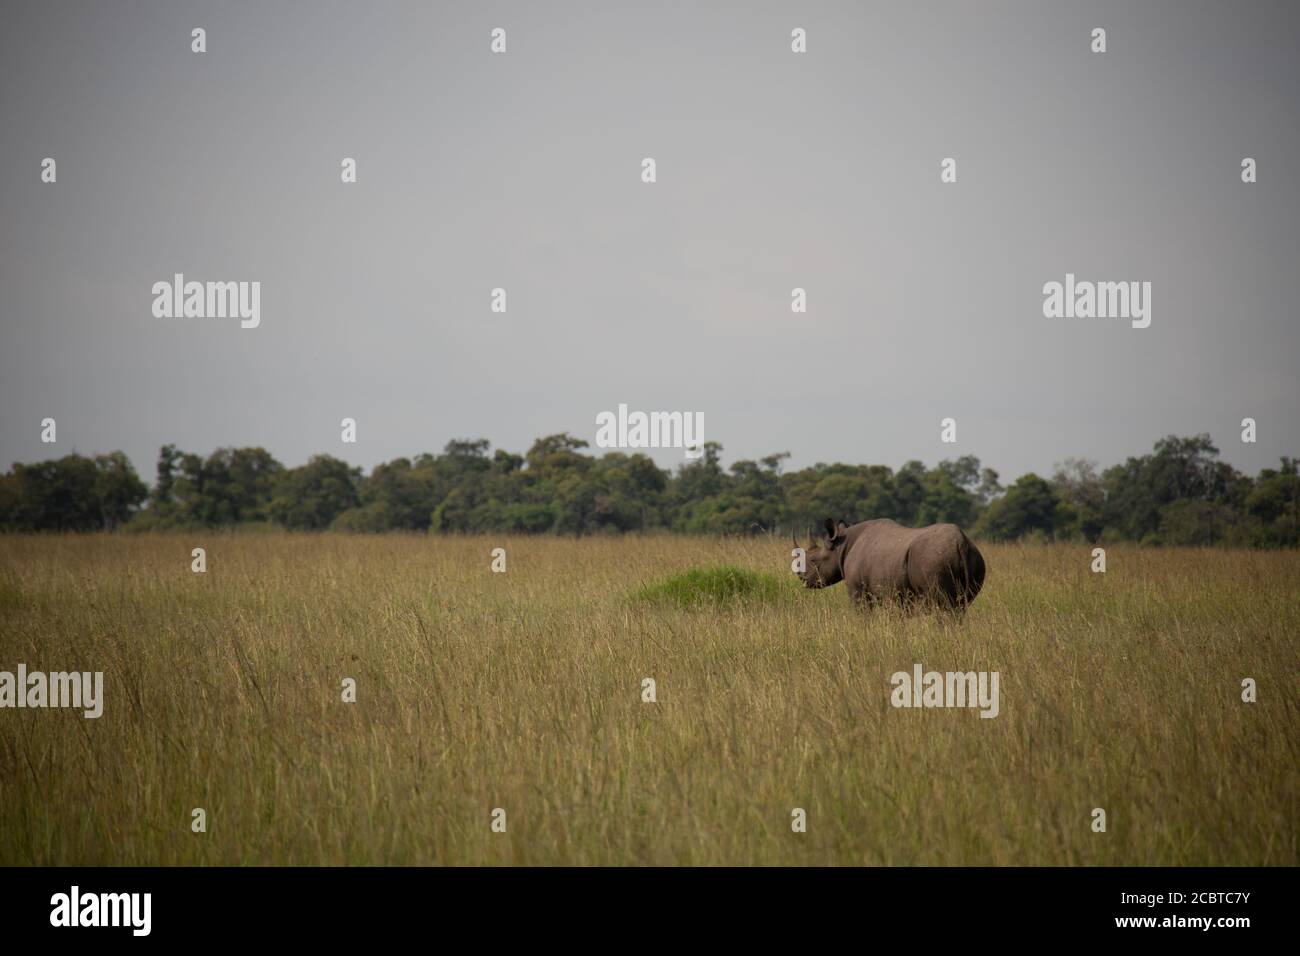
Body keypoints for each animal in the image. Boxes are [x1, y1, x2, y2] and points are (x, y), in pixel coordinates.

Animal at [795, 517, 985, 611]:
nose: (801, 577)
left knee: (944, 606)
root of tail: (960, 542)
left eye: (814, 561)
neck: (840, 546)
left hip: (933, 557)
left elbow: (863, 613)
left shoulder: (857, 589)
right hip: (975, 559)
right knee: (961, 606)